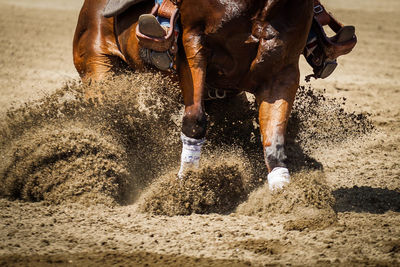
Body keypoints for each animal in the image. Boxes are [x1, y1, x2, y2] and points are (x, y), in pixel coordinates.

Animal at [73, 0, 314, 191]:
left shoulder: (283, 72)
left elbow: (274, 139)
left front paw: (283, 190)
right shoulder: (193, 44)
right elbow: (195, 120)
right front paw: (187, 182)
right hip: (98, 67)